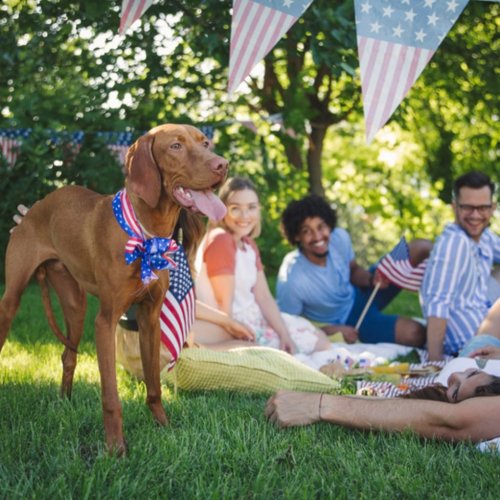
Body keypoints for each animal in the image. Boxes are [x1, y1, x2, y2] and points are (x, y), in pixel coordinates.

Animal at [0, 124, 227, 454]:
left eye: (205, 143)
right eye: (175, 146)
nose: (222, 164)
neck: (146, 234)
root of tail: (35, 208)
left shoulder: (150, 318)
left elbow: (154, 385)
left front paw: (163, 427)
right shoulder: (105, 322)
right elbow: (110, 395)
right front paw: (115, 448)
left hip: (75, 304)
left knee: (68, 356)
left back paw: (64, 403)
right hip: (11, 300)